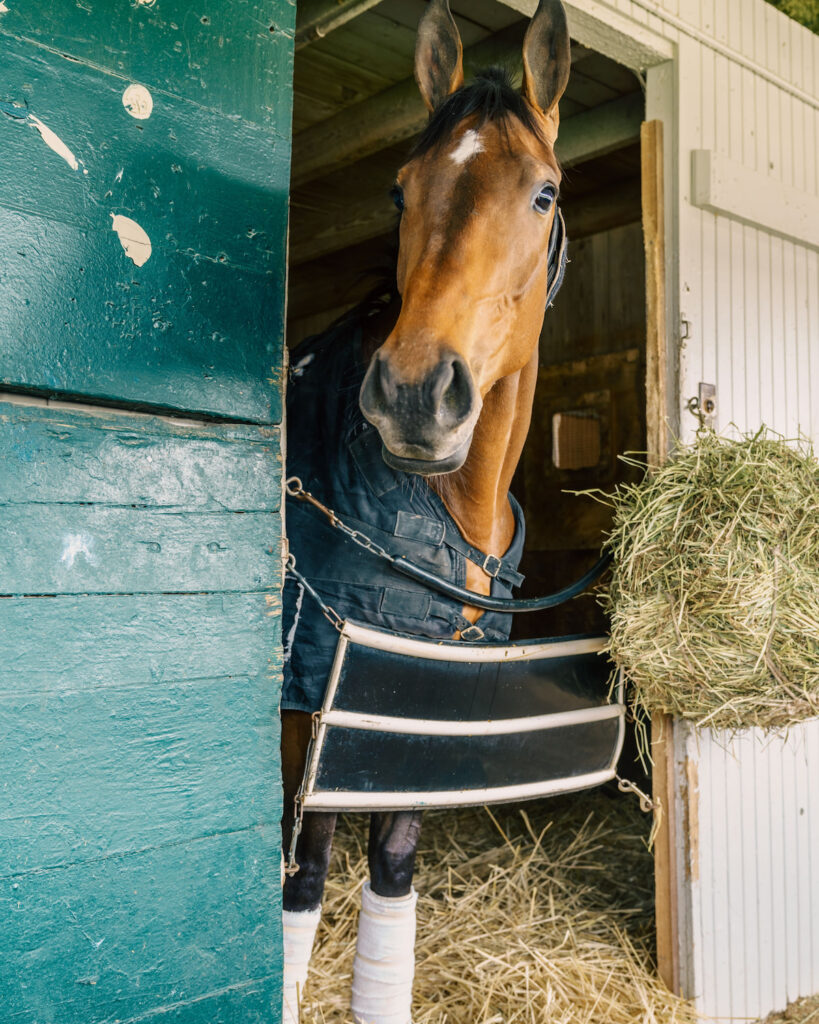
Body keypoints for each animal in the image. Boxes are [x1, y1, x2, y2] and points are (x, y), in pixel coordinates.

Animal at [280, 4, 569, 1019]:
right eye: (401, 193)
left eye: (544, 195)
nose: (412, 394)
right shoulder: (316, 710)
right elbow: (302, 882)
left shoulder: (417, 711)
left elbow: (393, 868)